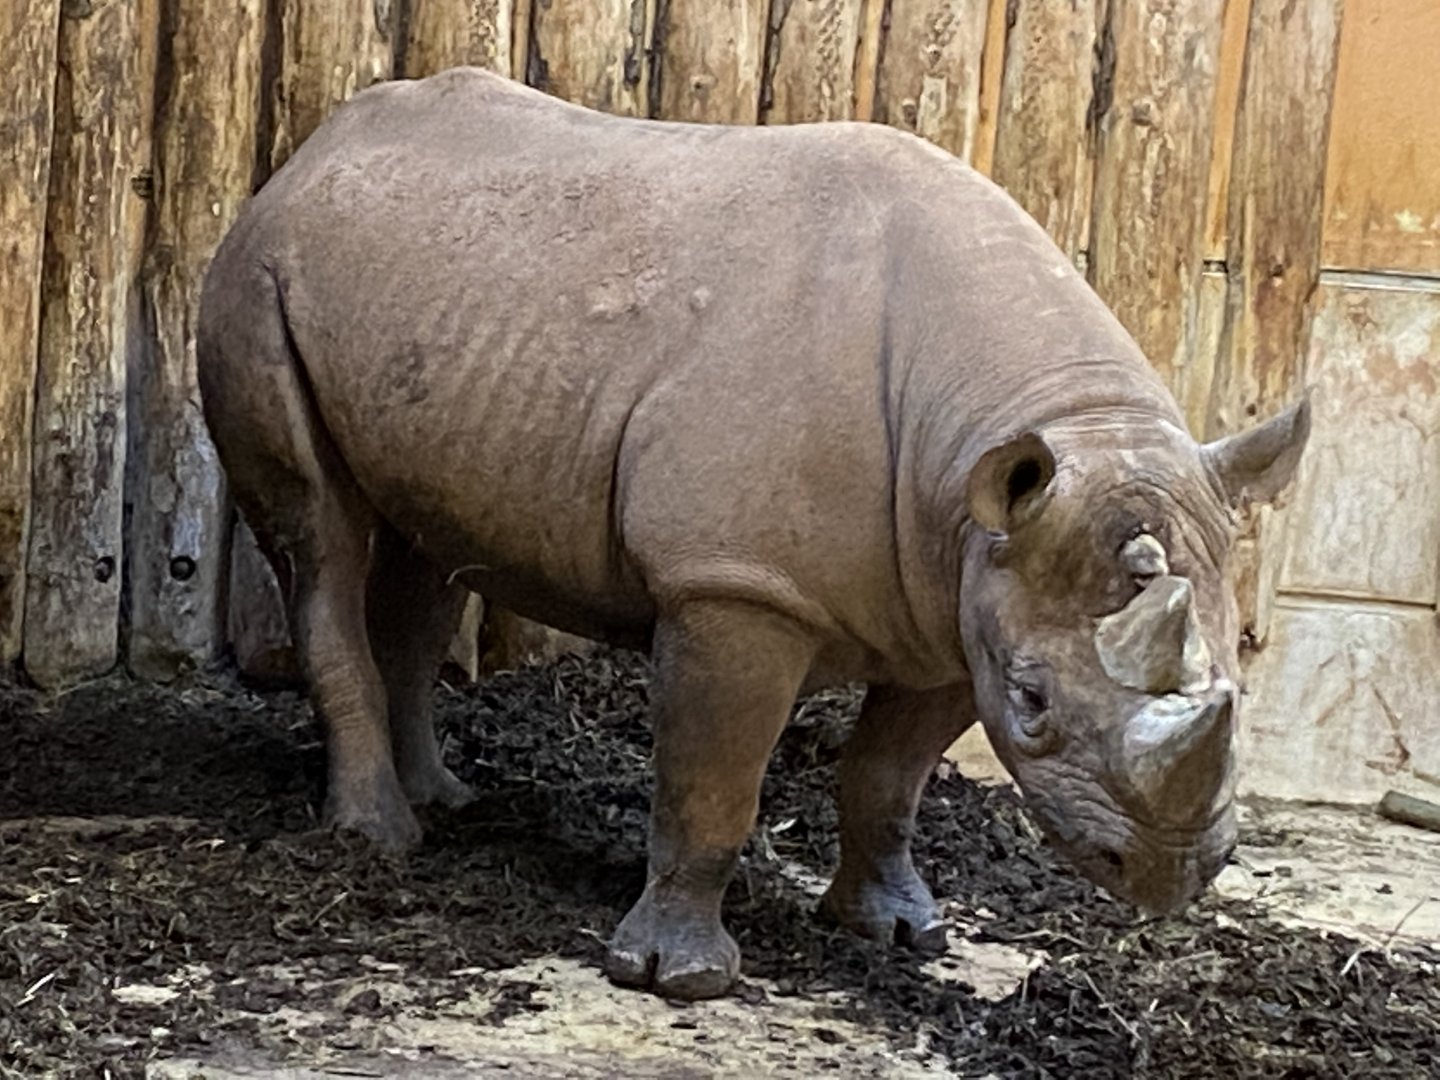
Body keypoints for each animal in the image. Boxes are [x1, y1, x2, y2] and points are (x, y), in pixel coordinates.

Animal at [196, 68, 1310, 1001]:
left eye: (1241, 680)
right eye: (1034, 703)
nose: (1172, 872)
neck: (1019, 426)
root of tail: (310, 153)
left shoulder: (960, 599)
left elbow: (888, 780)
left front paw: (898, 933)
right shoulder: (736, 588)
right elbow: (713, 785)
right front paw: (677, 979)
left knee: (430, 550)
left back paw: (447, 801)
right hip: (257, 275)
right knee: (321, 536)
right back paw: (379, 839)